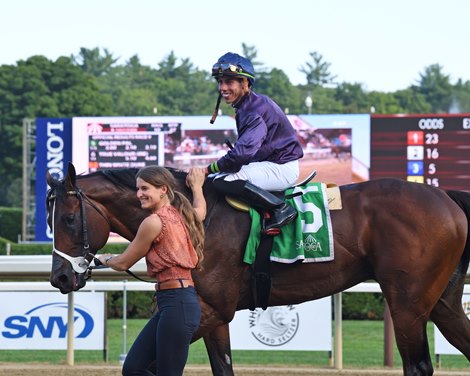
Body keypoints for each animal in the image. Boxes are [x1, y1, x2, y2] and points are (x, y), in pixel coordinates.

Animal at [46, 162, 470, 376]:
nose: (60, 277)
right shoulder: (213, 314)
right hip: (442, 302)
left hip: (408, 304)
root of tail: (445, 196)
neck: (200, 219)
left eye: (67, 219)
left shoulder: (212, 309)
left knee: (418, 366)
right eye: (50, 221)